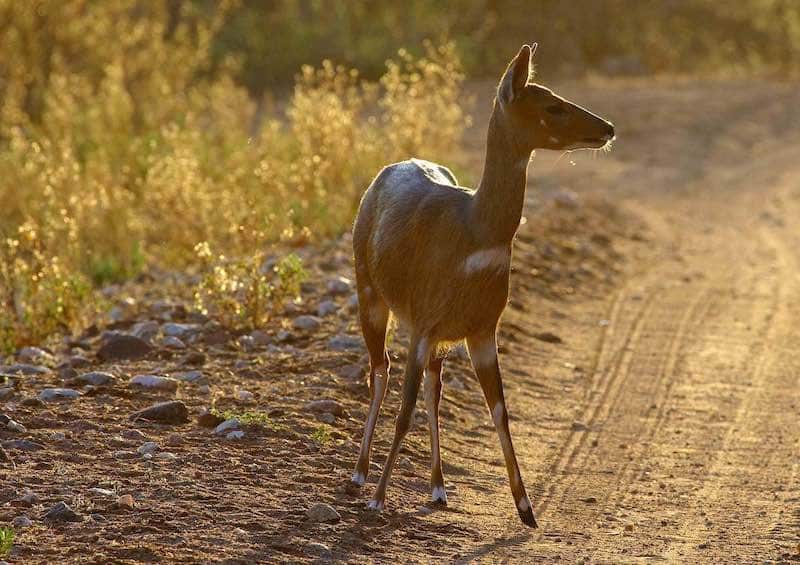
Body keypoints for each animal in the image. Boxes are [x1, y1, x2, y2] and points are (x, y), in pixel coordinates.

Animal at [346, 43, 616, 524]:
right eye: (552, 106)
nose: (608, 128)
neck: (476, 235)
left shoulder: (482, 327)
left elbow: (500, 410)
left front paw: (527, 510)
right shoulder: (423, 321)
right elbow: (405, 408)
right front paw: (378, 498)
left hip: (434, 334)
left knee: (432, 387)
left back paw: (438, 488)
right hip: (370, 293)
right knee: (381, 371)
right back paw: (359, 476)